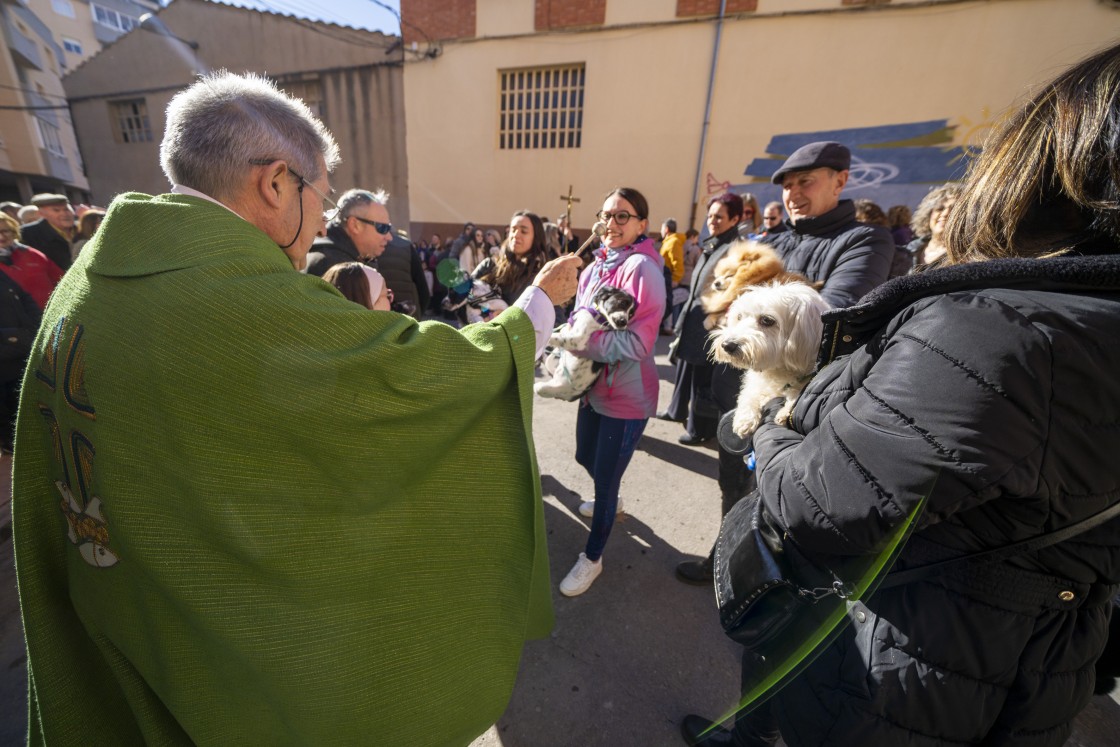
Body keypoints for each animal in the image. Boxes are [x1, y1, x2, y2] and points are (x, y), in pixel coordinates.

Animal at [712, 283, 828, 441]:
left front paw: (785, 411)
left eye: (767, 320)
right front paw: (745, 419)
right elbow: (749, 394)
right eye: (739, 317)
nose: (727, 345)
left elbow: (795, 395)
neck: (779, 371)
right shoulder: (757, 384)